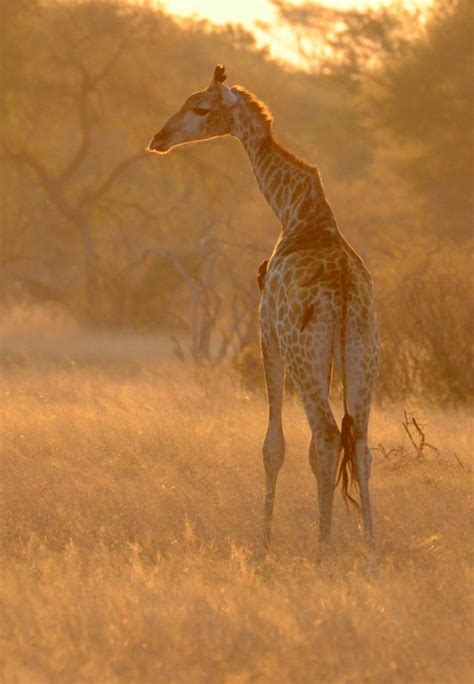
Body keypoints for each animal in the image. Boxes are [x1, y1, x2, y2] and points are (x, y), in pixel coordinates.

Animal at [148, 65, 380, 548]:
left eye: (201, 107)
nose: (159, 137)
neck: (296, 210)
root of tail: (344, 290)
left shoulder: (266, 331)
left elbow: (273, 445)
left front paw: (264, 545)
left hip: (303, 350)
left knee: (328, 435)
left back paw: (323, 551)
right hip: (364, 352)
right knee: (362, 444)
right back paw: (370, 549)